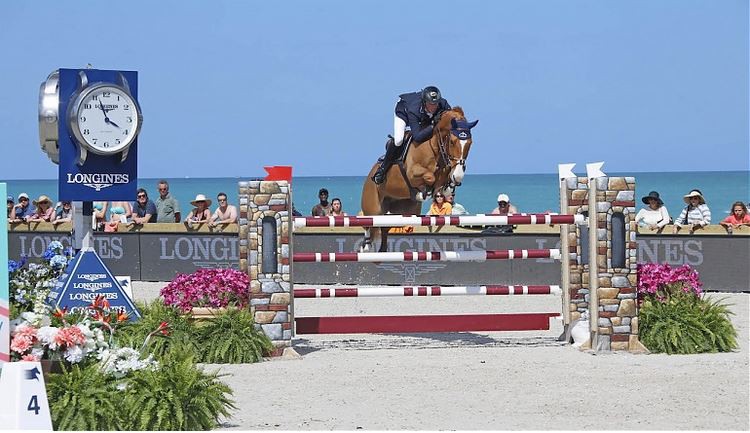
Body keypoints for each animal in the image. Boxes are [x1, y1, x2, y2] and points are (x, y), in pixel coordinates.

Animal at [362, 106, 478, 251]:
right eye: (452, 142)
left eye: (470, 143)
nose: (458, 175)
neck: (434, 146)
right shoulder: (412, 173)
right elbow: (430, 177)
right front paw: (424, 192)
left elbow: (443, 181)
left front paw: (447, 188)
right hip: (373, 209)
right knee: (368, 229)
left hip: (401, 214)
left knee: (384, 229)